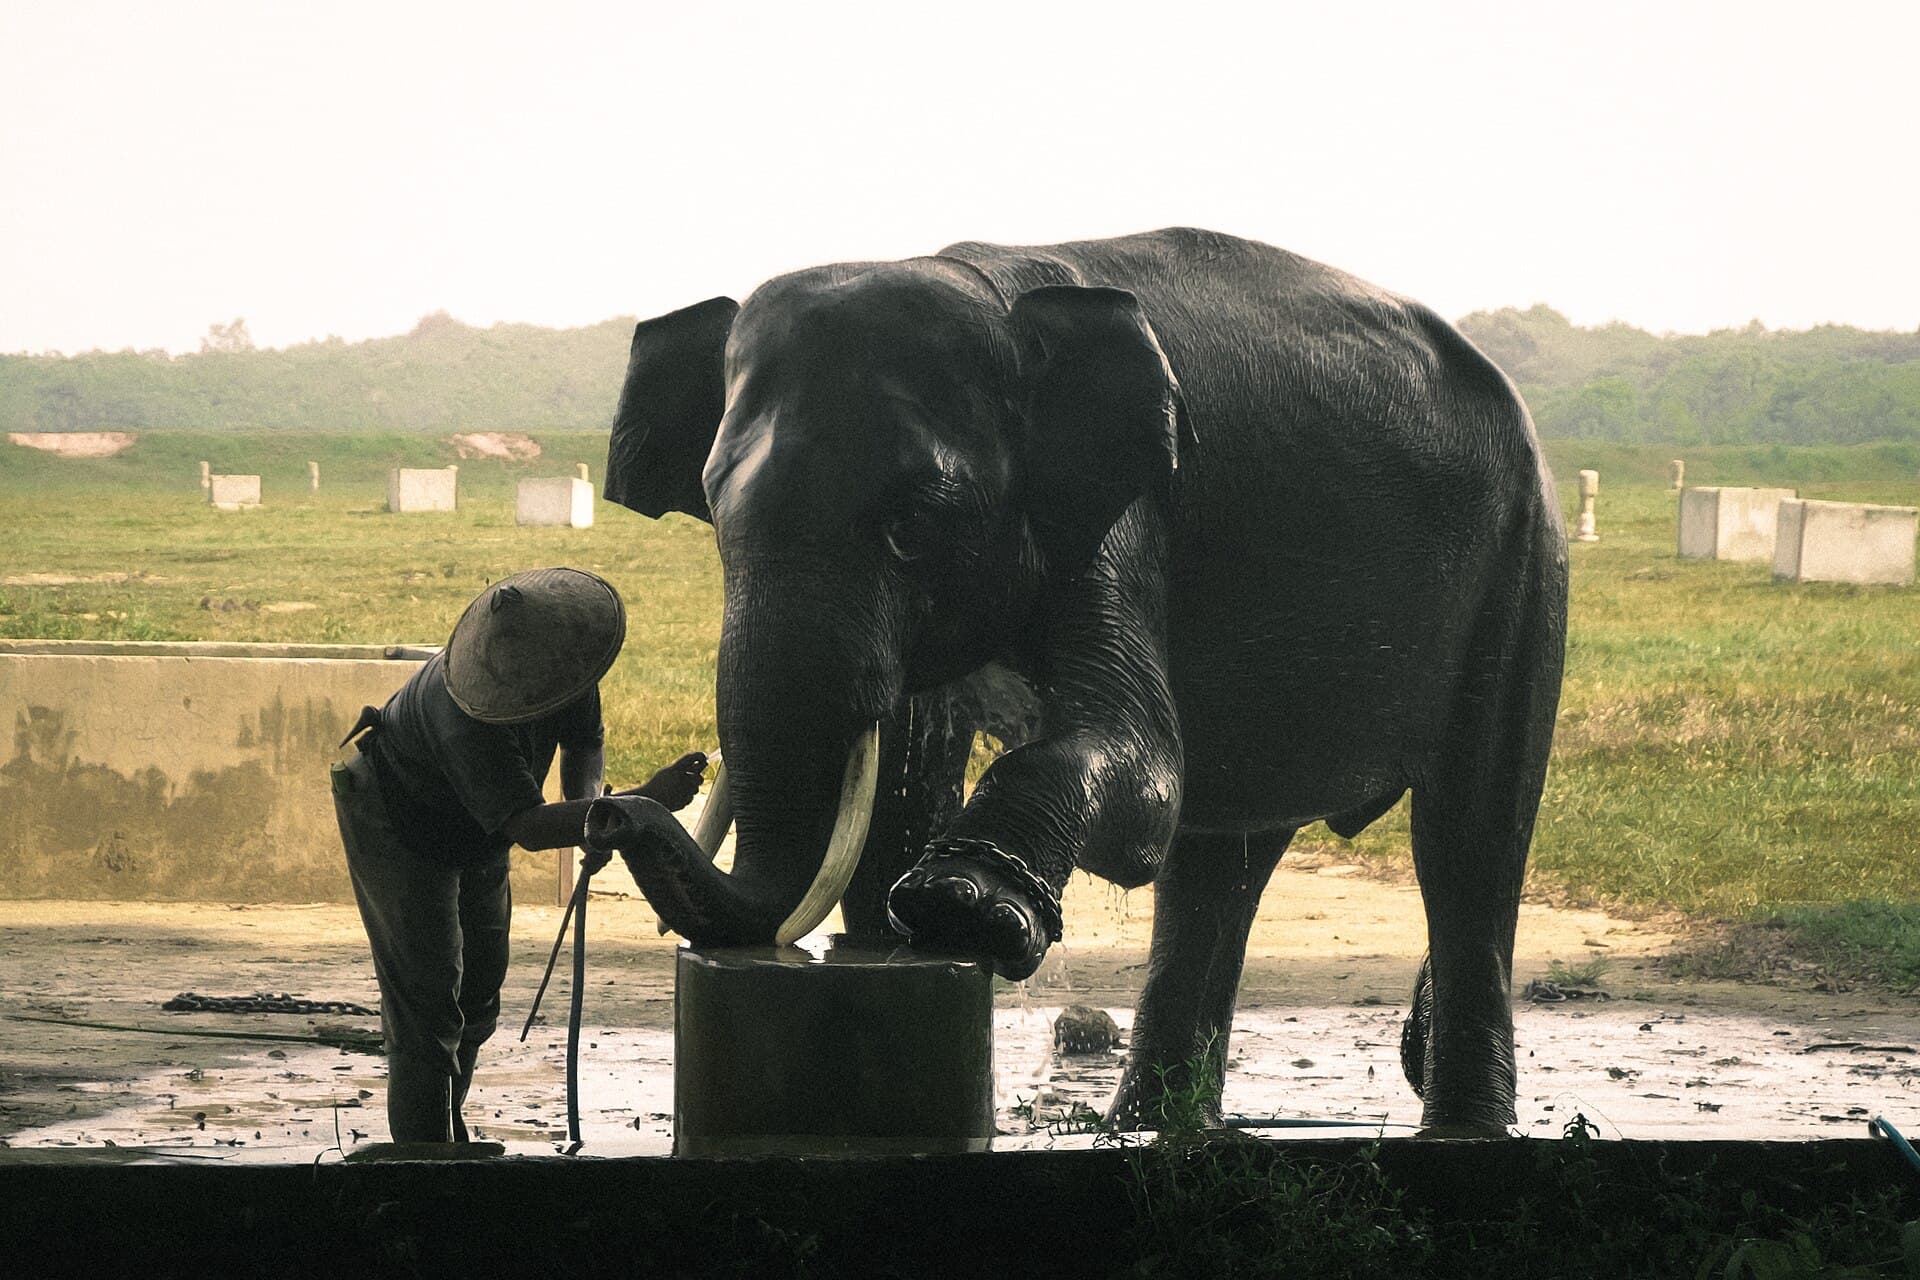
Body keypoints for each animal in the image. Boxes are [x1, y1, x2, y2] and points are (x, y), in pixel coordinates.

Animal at [586, 227, 1567, 1136]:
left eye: (912, 526)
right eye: (719, 521)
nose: (615, 809)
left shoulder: (1128, 510)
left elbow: (1143, 770)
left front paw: (964, 911)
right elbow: (914, 775)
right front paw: (896, 927)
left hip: (1523, 566)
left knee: (1470, 834)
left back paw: (1464, 1131)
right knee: (1222, 859)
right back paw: (1156, 1126)